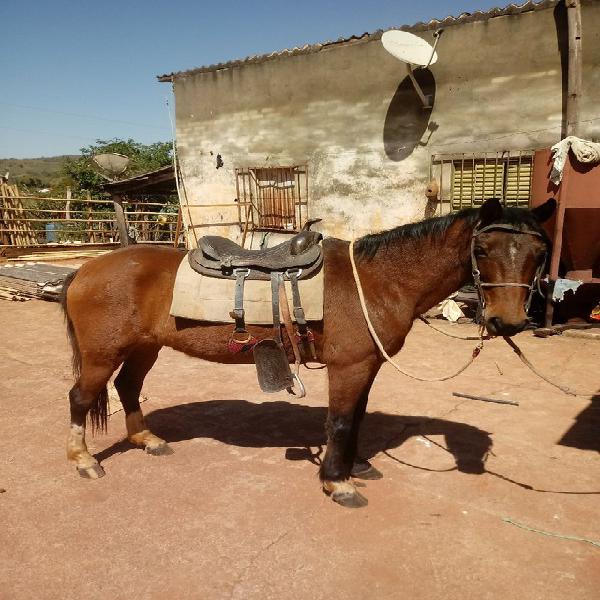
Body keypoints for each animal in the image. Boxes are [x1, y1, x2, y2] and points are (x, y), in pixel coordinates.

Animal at [61, 198, 552, 506]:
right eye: (482, 249)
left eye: (540, 252)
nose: (508, 322)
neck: (377, 279)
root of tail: (85, 270)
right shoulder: (349, 366)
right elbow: (340, 421)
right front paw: (338, 484)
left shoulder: (365, 366)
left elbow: (355, 418)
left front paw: (357, 466)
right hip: (103, 353)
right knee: (81, 398)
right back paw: (83, 461)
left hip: (145, 347)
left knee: (128, 387)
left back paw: (147, 440)